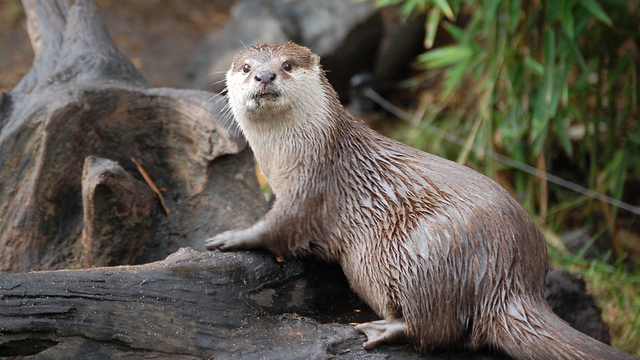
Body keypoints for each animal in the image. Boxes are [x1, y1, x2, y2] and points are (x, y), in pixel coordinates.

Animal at [206, 43, 636, 360]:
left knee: (434, 328)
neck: (300, 154)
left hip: (425, 250)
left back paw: (381, 327)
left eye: (287, 64)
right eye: (246, 67)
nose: (264, 75)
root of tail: (512, 280)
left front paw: (231, 236)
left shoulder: (312, 189)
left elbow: (278, 228)